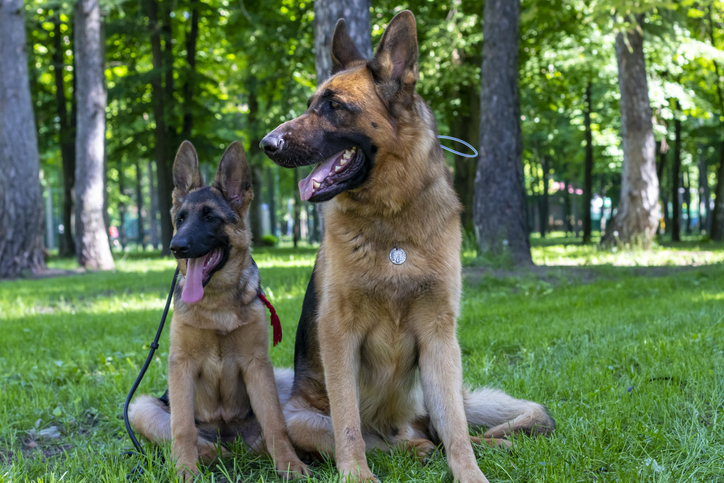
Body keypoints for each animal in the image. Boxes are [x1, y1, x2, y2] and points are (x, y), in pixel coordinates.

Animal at [129, 142, 306, 482]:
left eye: (210, 217)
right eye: (180, 218)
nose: (176, 246)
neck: (217, 305)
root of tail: (230, 439)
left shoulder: (257, 364)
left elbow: (275, 423)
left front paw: (290, 464)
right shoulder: (180, 365)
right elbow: (182, 428)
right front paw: (185, 471)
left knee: (269, 433)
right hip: (141, 408)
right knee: (189, 437)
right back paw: (209, 457)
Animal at [260, 11, 556, 483]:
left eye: (333, 106)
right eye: (310, 104)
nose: (266, 144)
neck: (393, 224)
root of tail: (400, 425)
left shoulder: (439, 335)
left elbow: (455, 426)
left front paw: (470, 472)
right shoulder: (338, 333)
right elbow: (348, 425)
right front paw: (356, 476)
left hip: (429, 391)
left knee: (443, 426)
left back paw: (486, 443)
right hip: (301, 420)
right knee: (383, 441)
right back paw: (413, 451)